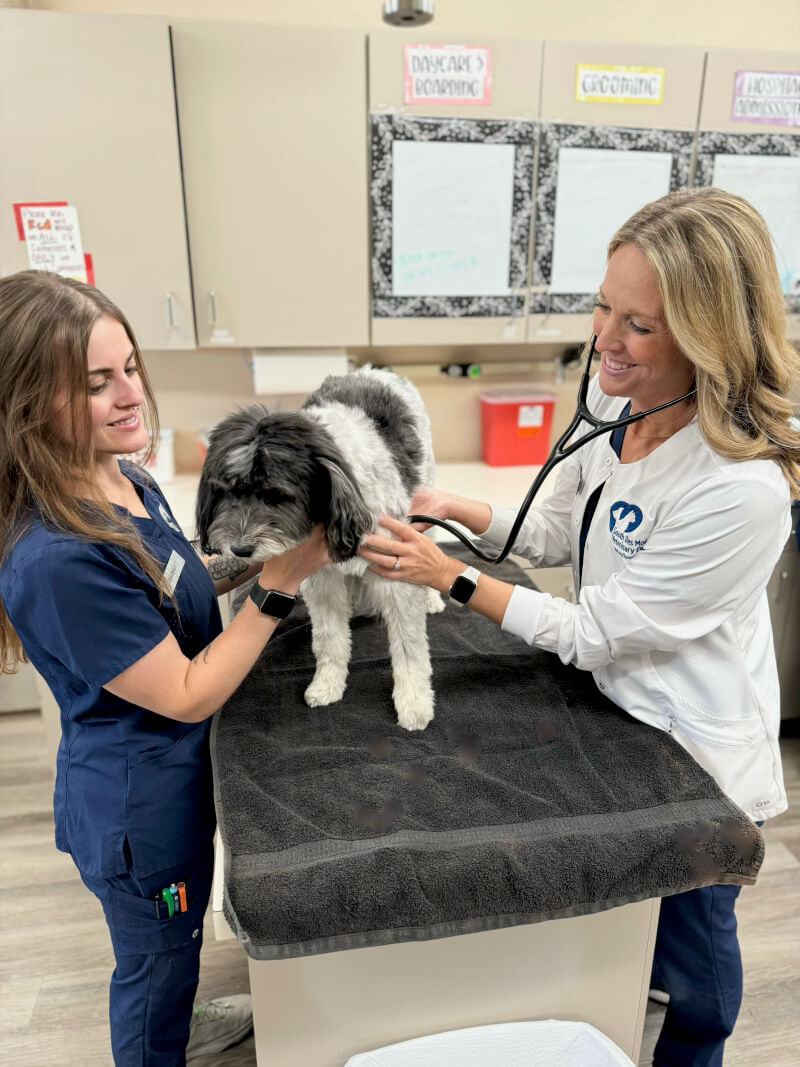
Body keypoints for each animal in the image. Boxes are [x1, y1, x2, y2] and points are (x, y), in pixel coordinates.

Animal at [195, 369, 445, 734]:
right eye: (226, 492)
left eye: (276, 496)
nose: (240, 549)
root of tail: (376, 371)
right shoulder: (320, 578)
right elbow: (329, 638)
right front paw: (327, 684)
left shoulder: (394, 571)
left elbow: (409, 646)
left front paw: (413, 702)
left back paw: (432, 598)